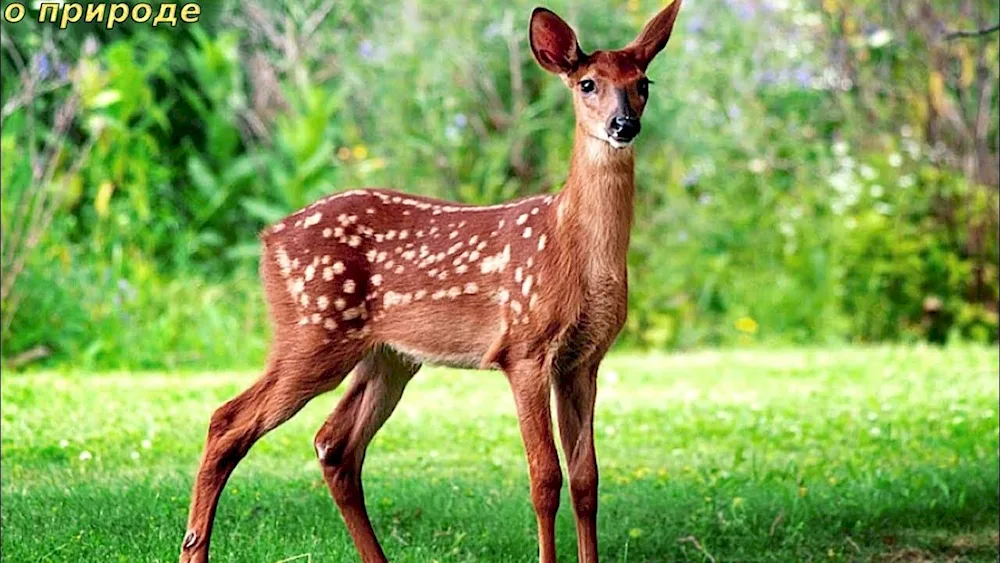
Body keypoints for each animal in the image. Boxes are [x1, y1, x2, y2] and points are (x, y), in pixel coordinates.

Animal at [182, 2, 680, 560]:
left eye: (643, 82)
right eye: (588, 83)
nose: (624, 124)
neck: (572, 246)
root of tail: (267, 238)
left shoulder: (583, 359)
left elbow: (587, 480)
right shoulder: (524, 347)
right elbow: (544, 479)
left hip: (387, 357)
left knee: (334, 444)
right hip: (312, 332)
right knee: (227, 421)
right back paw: (194, 547)